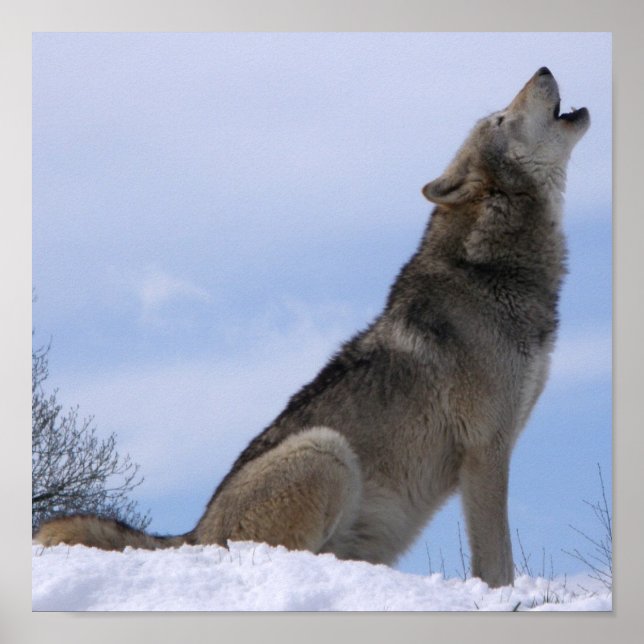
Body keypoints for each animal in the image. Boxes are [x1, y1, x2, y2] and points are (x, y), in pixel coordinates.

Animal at [35, 68, 589, 588]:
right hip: (327, 450)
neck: (491, 270)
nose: (543, 68)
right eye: (500, 118)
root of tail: (193, 534)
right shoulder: (485, 450)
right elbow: (497, 562)